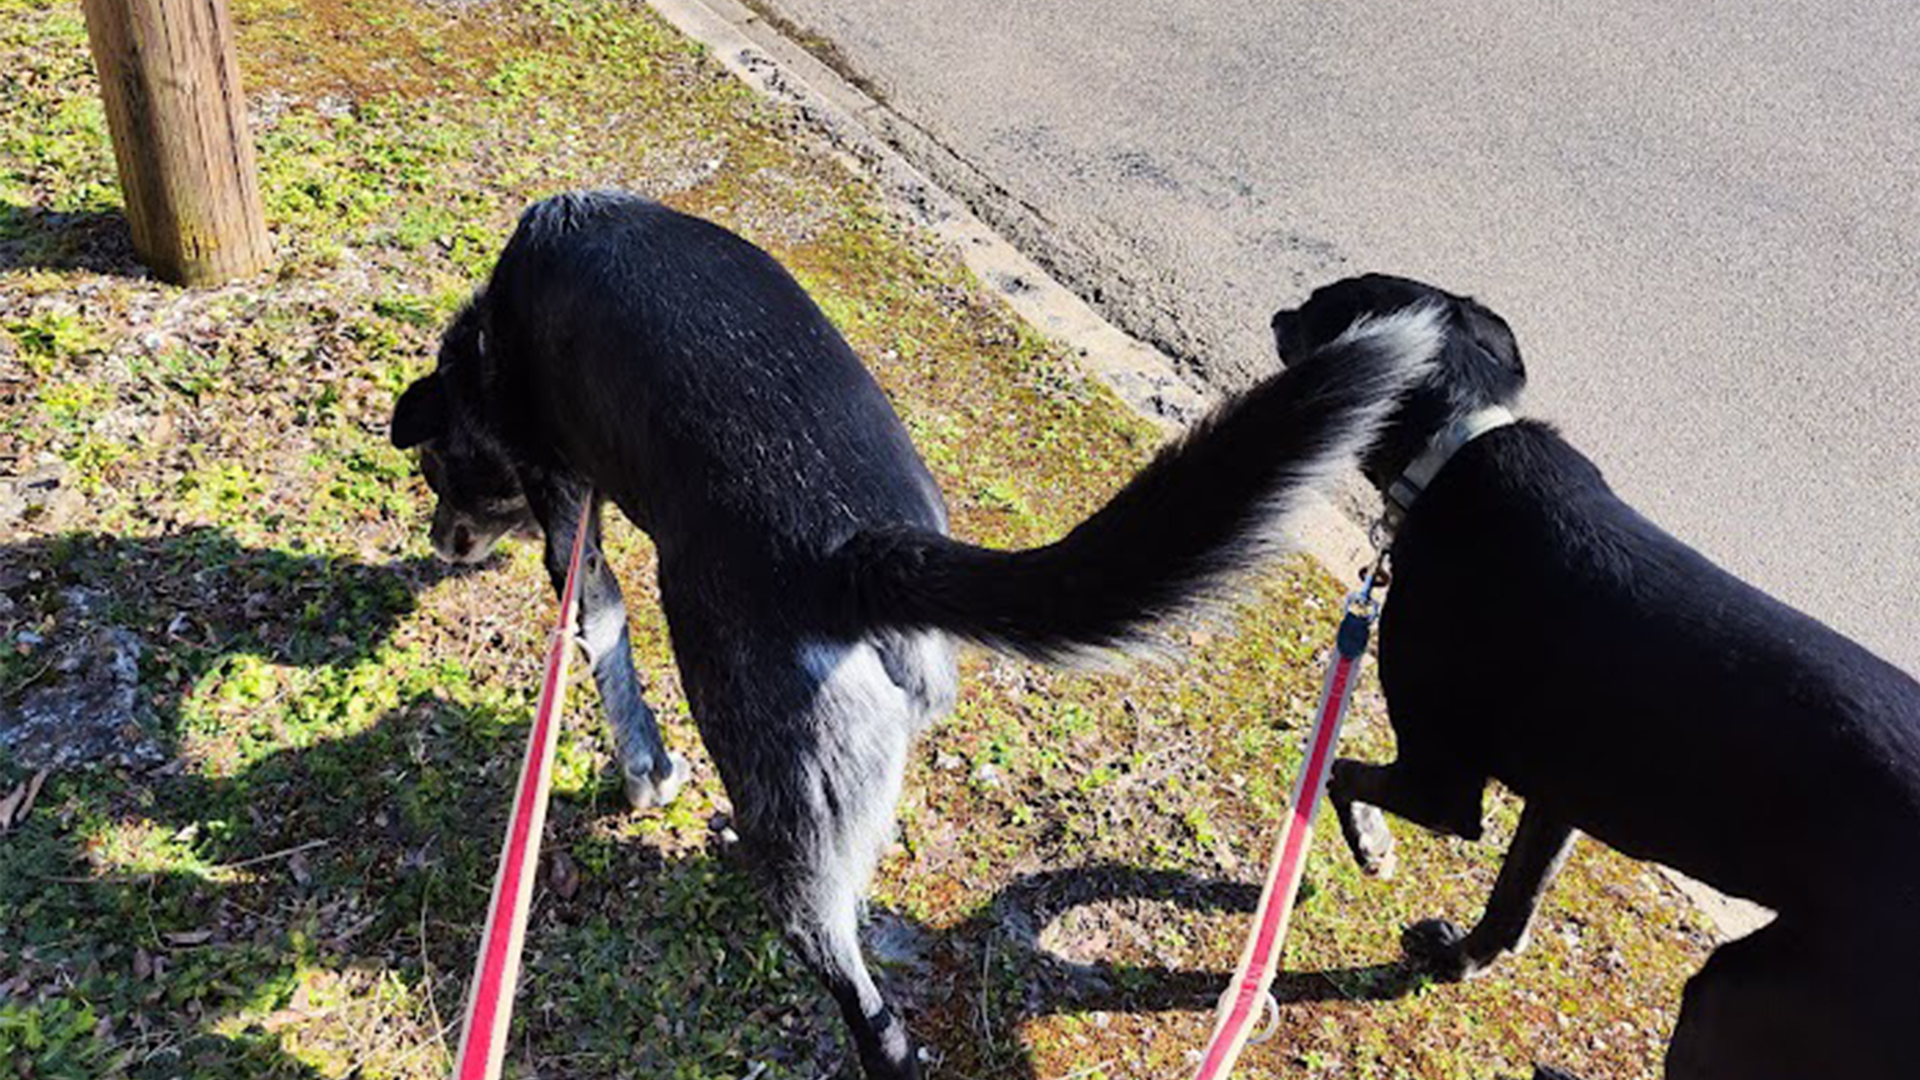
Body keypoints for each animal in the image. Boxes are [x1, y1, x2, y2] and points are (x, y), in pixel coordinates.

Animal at [389, 189, 1443, 1068]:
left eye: (439, 468)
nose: (439, 544)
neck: (493, 334)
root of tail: (854, 553)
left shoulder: (568, 515)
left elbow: (604, 647)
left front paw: (642, 772)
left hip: (781, 800)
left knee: (870, 1012)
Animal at [1274, 274, 1920, 1076]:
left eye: (1317, 307)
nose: (1279, 314)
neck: (1454, 448)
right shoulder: (1560, 799)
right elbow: (1513, 902)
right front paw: (1457, 960)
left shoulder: (1441, 782)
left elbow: (1336, 775)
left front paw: (1370, 843)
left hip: (1743, 994)